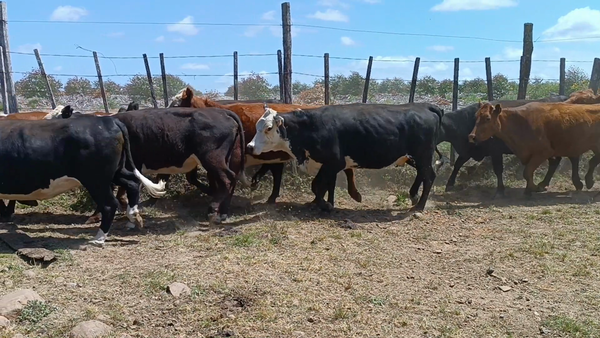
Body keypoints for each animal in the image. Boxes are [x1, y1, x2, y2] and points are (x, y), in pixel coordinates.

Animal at [0, 116, 166, 246]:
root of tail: (108, 120)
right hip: (114, 172)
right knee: (132, 183)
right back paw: (133, 216)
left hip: (96, 180)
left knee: (109, 204)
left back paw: (99, 238)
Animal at [244, 102, 440, 211]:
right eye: (257, 125)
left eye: (269, 128)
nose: (249, 147)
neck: (310, 127)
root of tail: (425, 106)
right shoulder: (325, 165)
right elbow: (324, 186)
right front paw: (319, 203)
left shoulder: (334, 163)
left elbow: (317, 185)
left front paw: (325, 205)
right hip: (415, 158)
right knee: (423, 174)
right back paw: (414, 196)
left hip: (422, 155)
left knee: (430, 176)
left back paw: (420, 206)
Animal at [438, 94, 584, 198]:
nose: (471, 136)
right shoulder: (468, 150)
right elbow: (457, 164)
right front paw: (449, 184)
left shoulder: (495, 151)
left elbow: (498, 169)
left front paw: (500, 191)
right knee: (555, 161)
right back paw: (543, 184)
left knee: (572, 158)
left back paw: (577, 183)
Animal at [466, 101, 600, 194]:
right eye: (476, 116)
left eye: (487, 118)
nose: (472, 136)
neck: (518, 122)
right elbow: (529, 172)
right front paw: (530, 189)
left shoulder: (543, 152)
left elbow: (527, 172)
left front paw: (532, 189)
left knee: (592, 161)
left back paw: (588, 181)